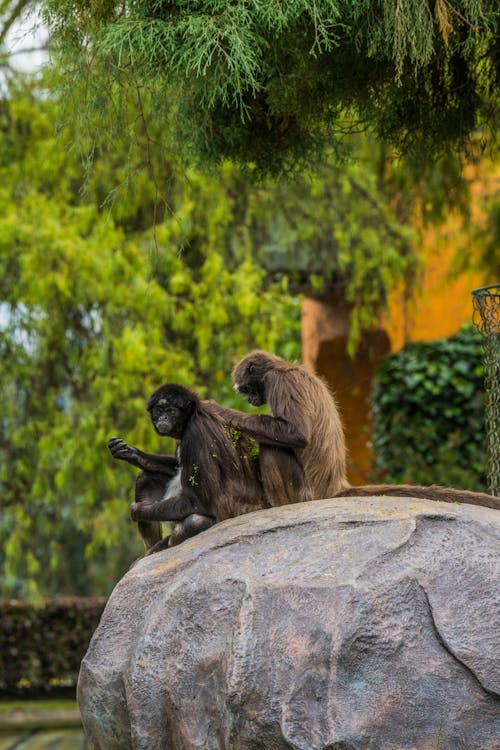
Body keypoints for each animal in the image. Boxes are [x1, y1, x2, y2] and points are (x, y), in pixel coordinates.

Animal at [216, 352, 500, 516]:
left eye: (247, 390)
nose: (251, 399)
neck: (285, 367)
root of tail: (334, 487)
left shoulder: (278, 381)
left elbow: (296, 435)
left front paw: (222, 412)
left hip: (305, 492)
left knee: (273, 446)